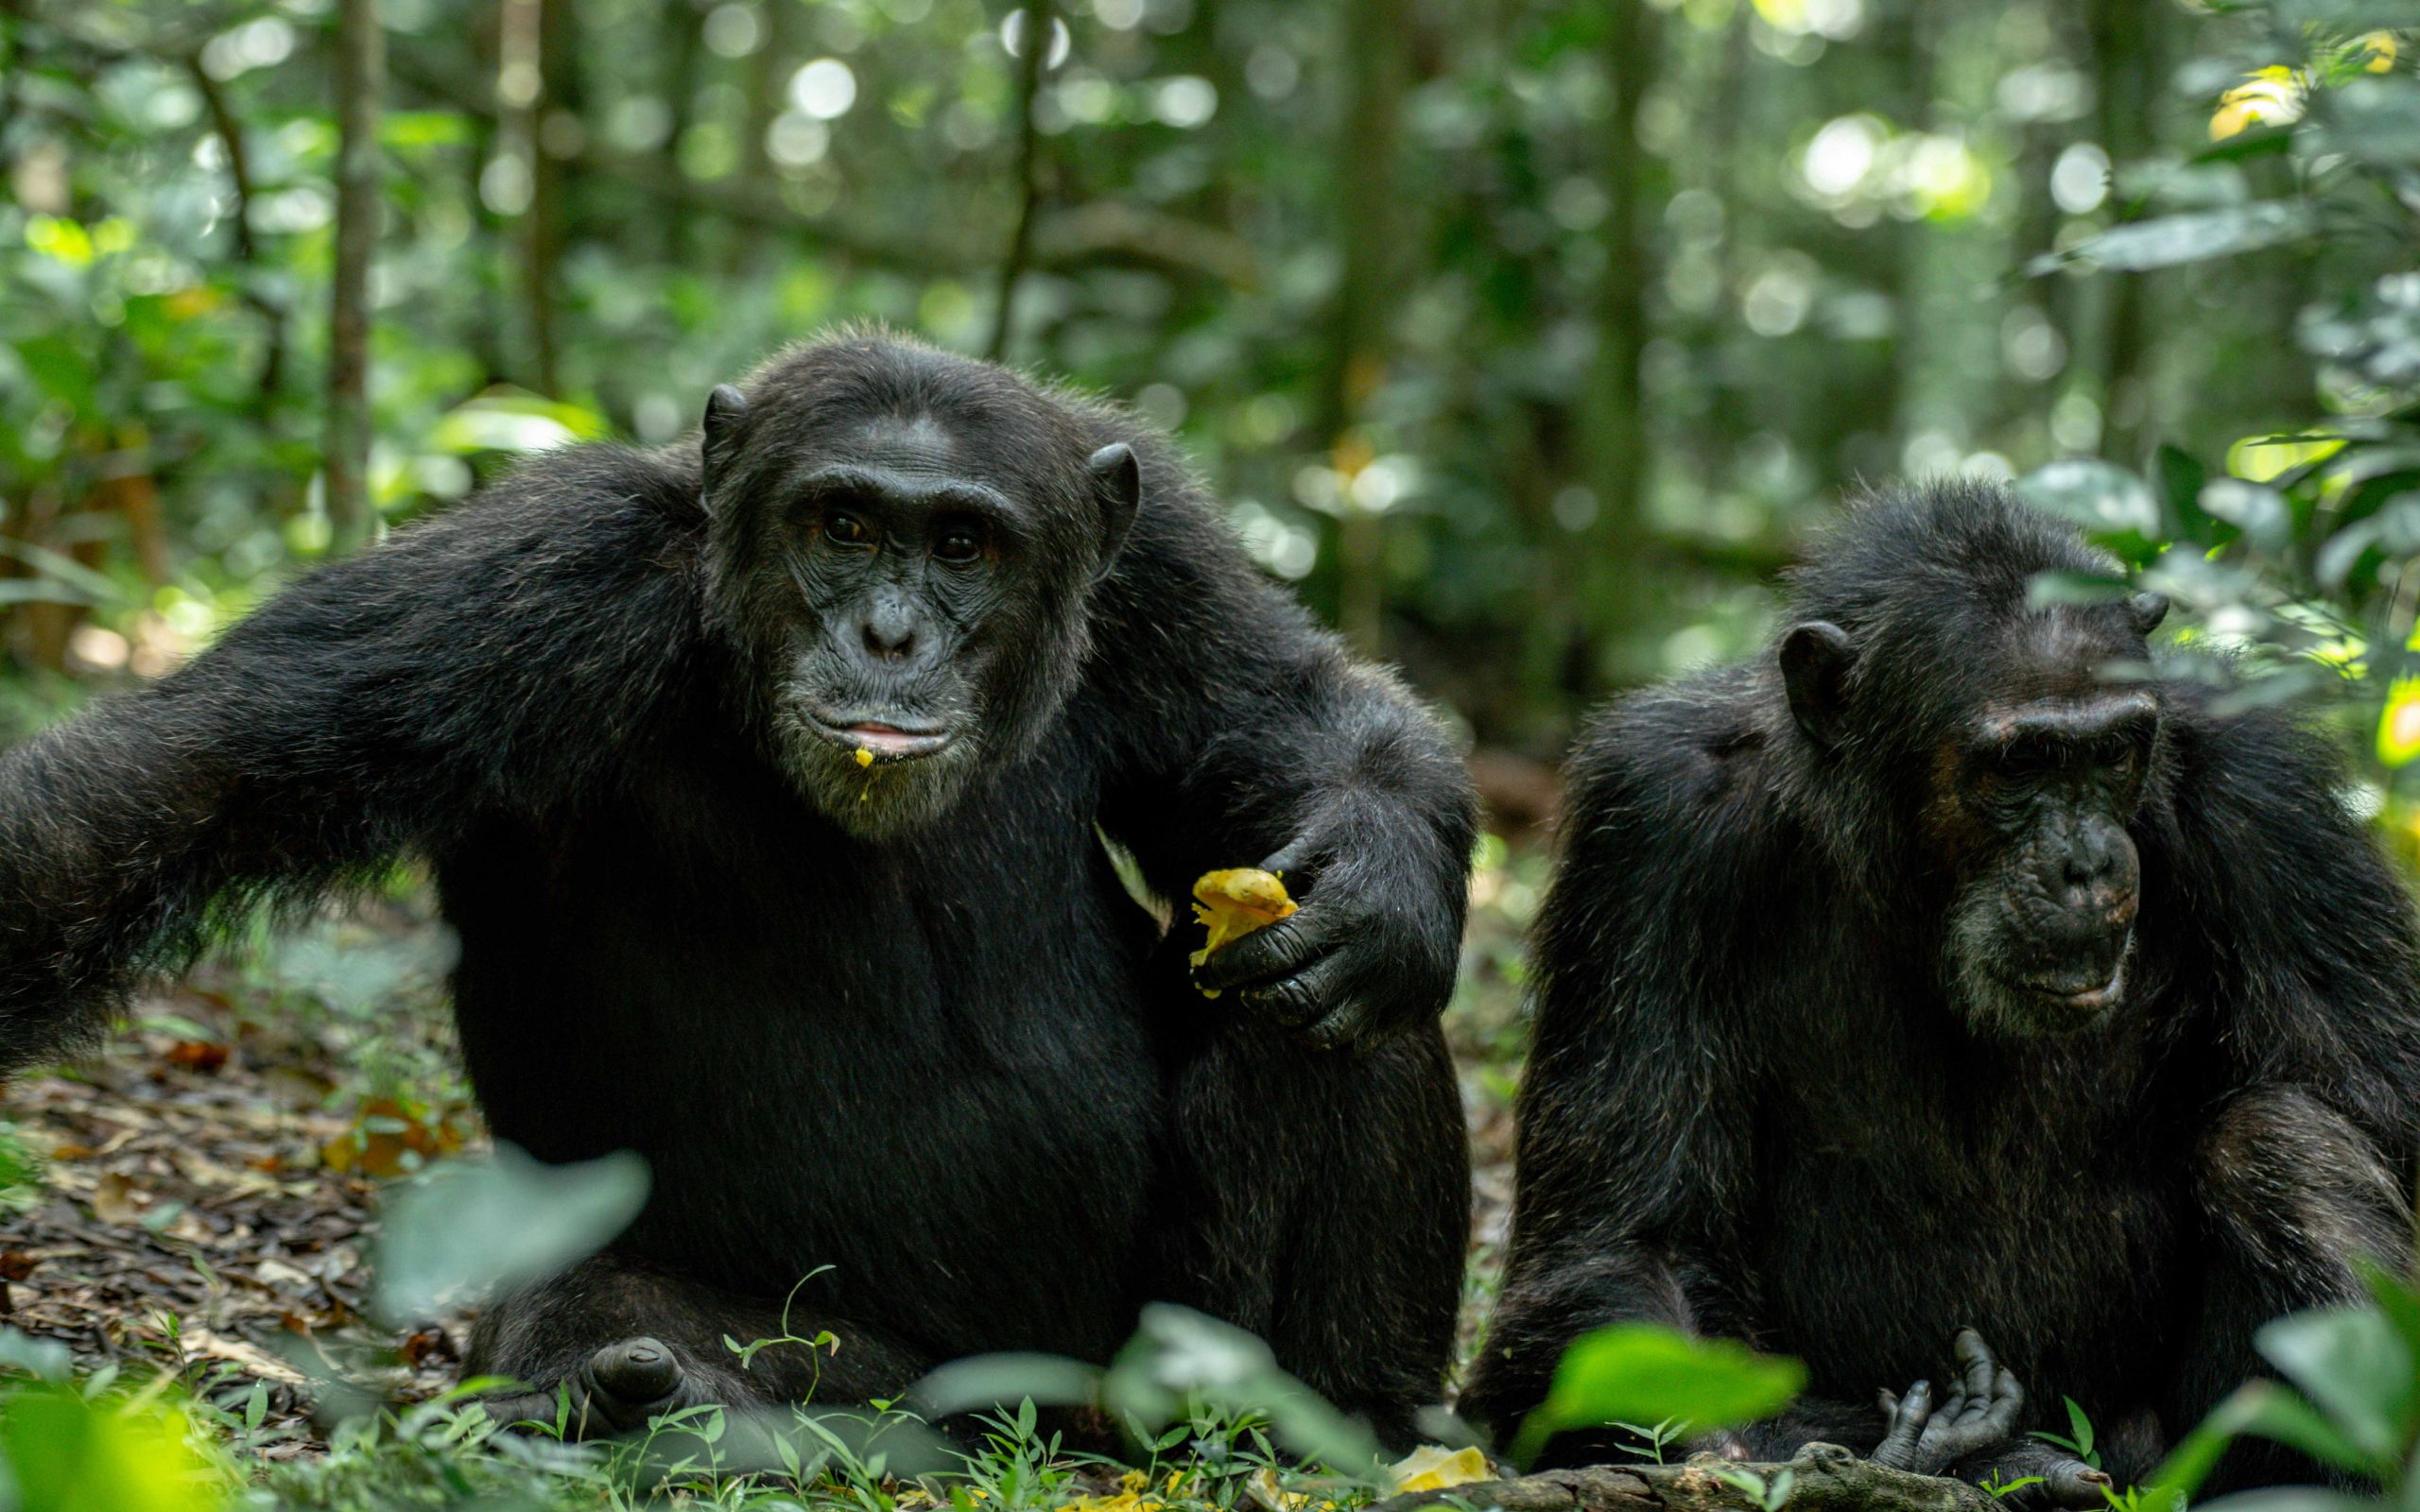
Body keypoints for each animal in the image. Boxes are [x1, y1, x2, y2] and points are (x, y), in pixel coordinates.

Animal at [0, 335, 1471, 1441]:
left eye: (964, 548)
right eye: (845, 525)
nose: (890, 633)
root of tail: (1043, 1408)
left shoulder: (1163, 558)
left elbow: (1285, 717)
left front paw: (1384, 893)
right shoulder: (539, 576)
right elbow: (192, 781)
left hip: (1146, 1337)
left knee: (1335, 1022)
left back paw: (1334, 1421)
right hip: (886, 1370)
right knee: (609, 1310)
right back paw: (639, 1401)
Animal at [1452, 484, 2420, 1500]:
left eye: (2115, 752)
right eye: (2021, 763)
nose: (2086, 863)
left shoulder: (2272, 802)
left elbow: (2371, 1109)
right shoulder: (1649, 824)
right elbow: (1626, 1247)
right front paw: (1965, 1452)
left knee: (2280, 1139)